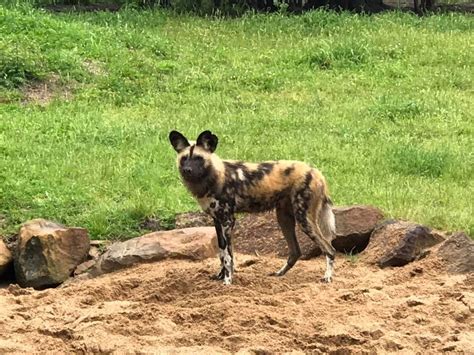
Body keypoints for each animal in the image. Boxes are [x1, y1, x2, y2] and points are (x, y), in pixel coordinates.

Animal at [168, 131, 336, 286]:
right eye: (184, 158)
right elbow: (222, 252)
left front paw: (228, 280)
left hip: (303, 219)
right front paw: (221, 276)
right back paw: (279, 273)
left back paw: (327, 277)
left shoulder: (228, 221)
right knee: (295, 252)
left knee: (329, 249)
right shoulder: (217, 220)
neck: (213, 178)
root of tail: (316, 171)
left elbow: (228, 256)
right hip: (284, 218)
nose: (187, 170)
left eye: (198, 158)